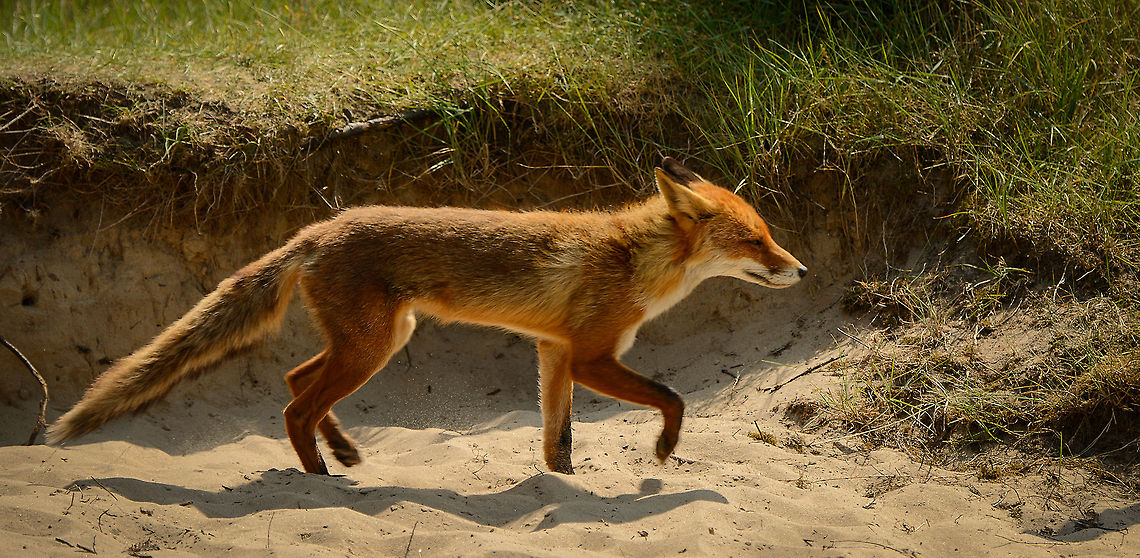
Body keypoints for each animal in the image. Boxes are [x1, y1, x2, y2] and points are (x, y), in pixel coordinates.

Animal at [46, 157, 806, 475]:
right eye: (755, 240)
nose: (801, 271)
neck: (630, 258)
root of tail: (316, 231)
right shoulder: (592, 355)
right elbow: (673, 397)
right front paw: (664, 451)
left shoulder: (555, 353)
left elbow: (556, 438)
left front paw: (563, 483)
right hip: (374, 347)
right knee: (293, 406)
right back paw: (319, 476)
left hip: (378, 340)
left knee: (294, 382)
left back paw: (343, 452)